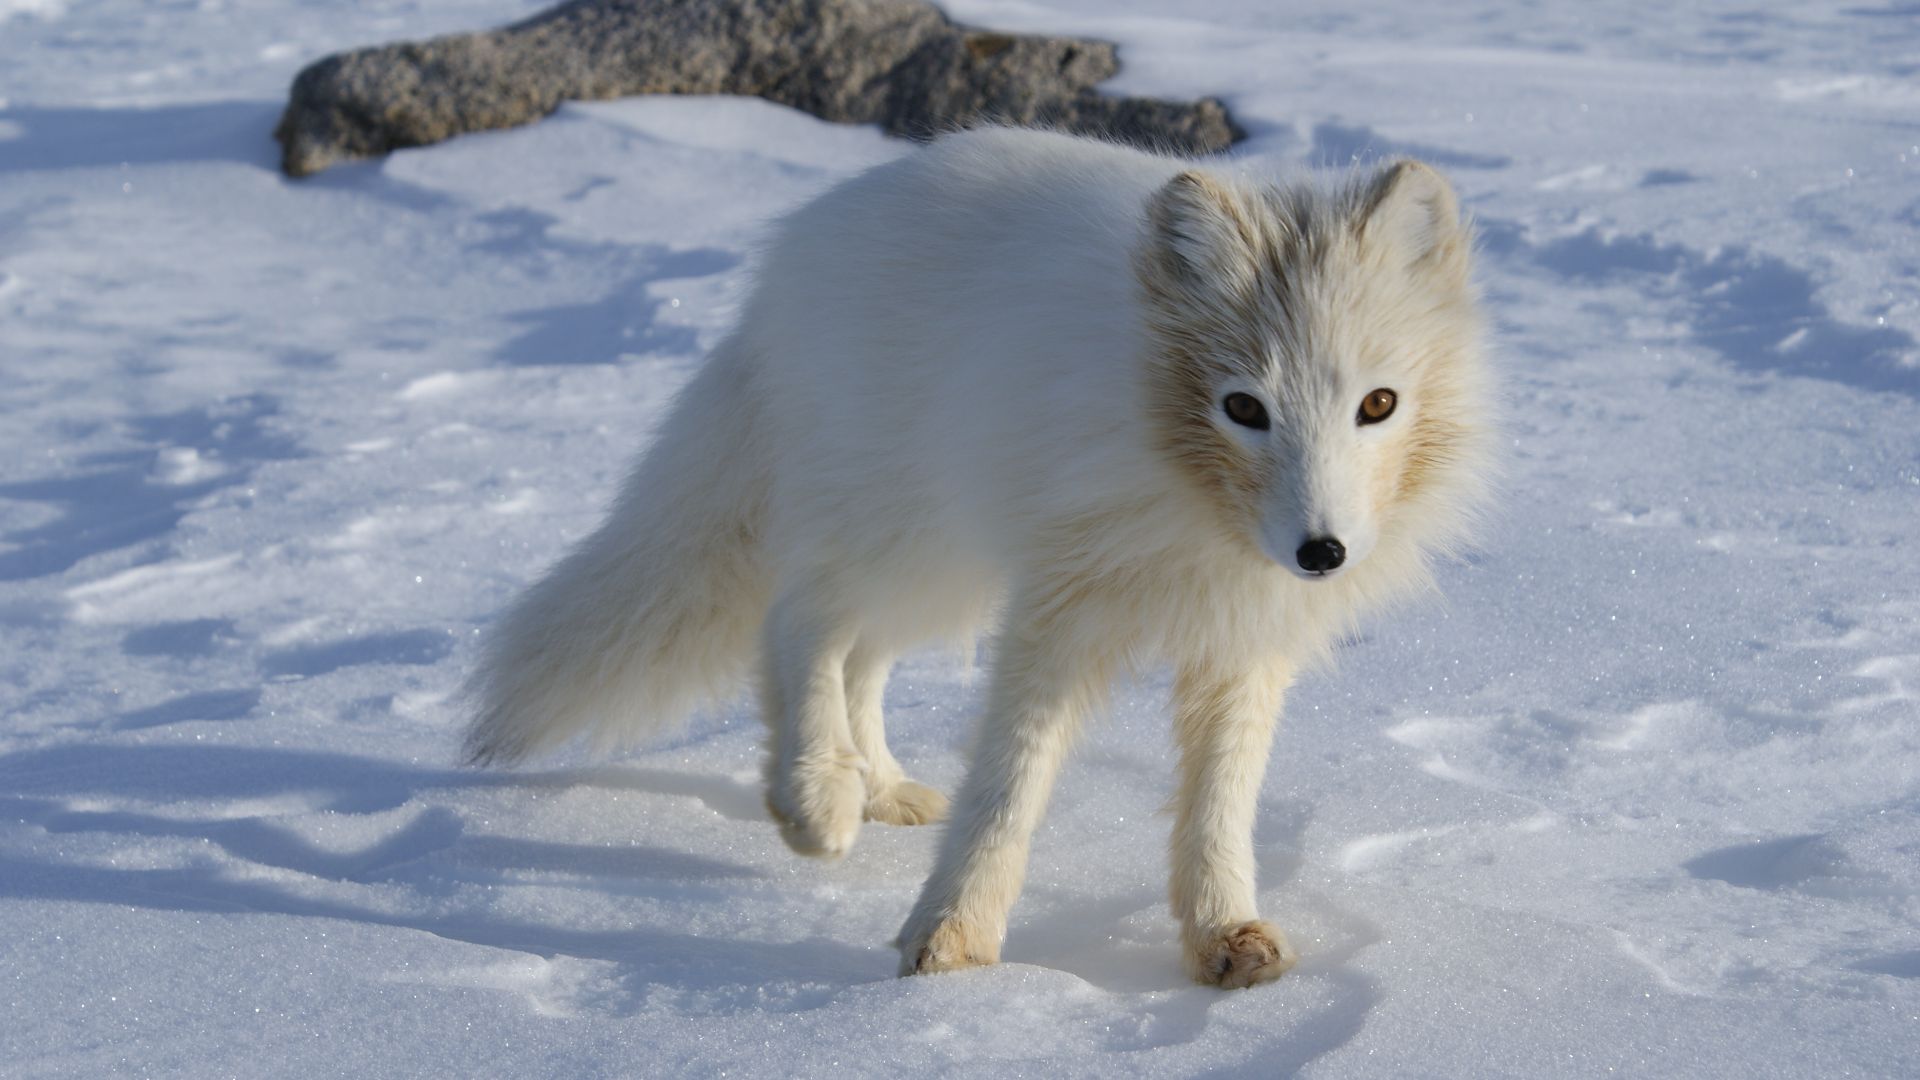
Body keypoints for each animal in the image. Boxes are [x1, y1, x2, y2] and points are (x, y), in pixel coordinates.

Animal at [463, 126, 1494, 988]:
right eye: (1244, 407)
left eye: (1377, 405)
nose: (1322, 551)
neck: (1195, 508)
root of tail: (801, 243)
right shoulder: (1058, 612)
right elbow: (1009, 783)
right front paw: (952, 940)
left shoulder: (1243, 640)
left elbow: (1221, 803)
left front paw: (1223, 934)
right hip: (908, 534)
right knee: (802, 618)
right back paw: (816, 797)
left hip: (947, 571)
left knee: (861, 656)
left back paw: (878, 787)